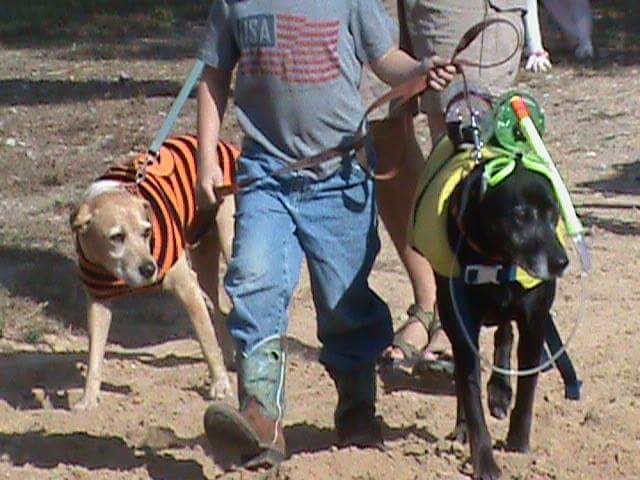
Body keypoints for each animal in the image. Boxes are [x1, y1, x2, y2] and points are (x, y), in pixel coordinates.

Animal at [70, 135, 237, 410]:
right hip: (203, 257)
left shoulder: (187, 288)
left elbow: (207, 341)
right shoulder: (98, 303)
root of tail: (224, 144)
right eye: (116, 237)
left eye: (147, 231)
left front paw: (220, 385)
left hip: (230, 243)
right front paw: (88, 399)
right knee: (220, 310)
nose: (150, 269)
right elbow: (94, 356)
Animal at [412, 127, 569, 478]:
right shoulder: (462, 329)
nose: (561, 262)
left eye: (554, 214)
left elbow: (527, 390)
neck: (496, 260)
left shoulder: (535, 323)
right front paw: (484, 460)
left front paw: (518, 443)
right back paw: (465, 422)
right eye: (520, 216)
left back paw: (499, 390)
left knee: (504, 335)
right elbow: (471, 398)